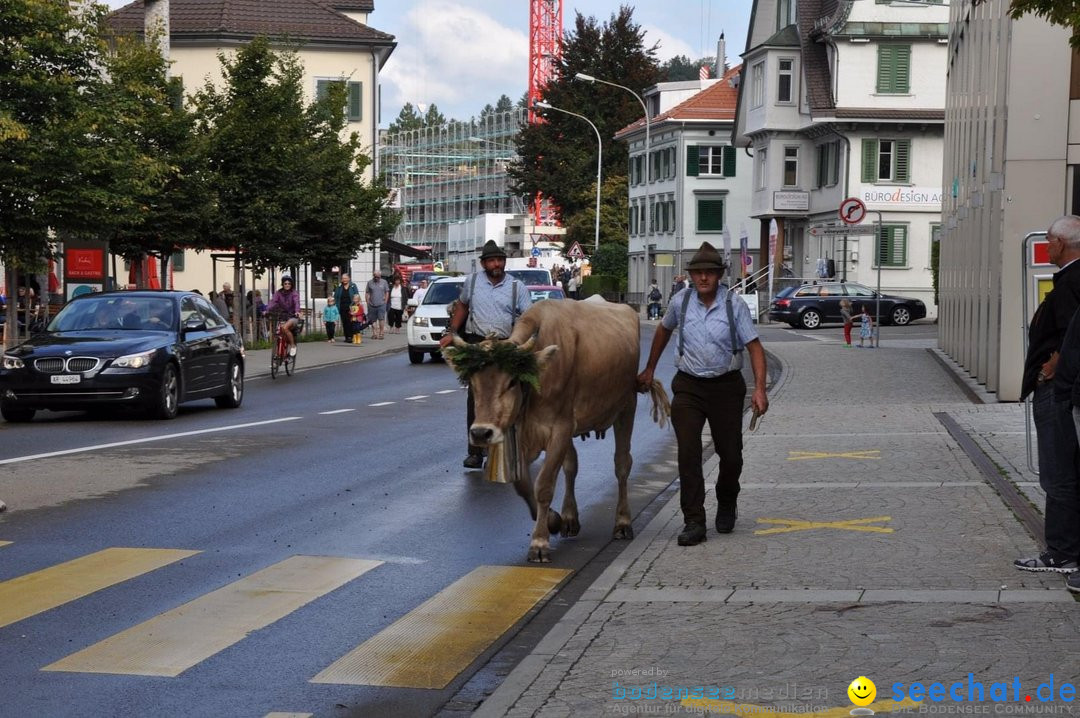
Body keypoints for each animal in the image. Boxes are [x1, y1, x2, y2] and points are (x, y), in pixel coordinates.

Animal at [444, 295, 665, 561]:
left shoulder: (560, 428)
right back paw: (570, 518)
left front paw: (539, 542)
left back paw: (622, 523)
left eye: (512, 381)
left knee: (622, 464)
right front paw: (553, 520)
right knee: (571, 466)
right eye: (473, 383)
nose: (480, 432)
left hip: (626, 406)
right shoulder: (521, 433)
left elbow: (545, 484)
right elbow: (523, 484)